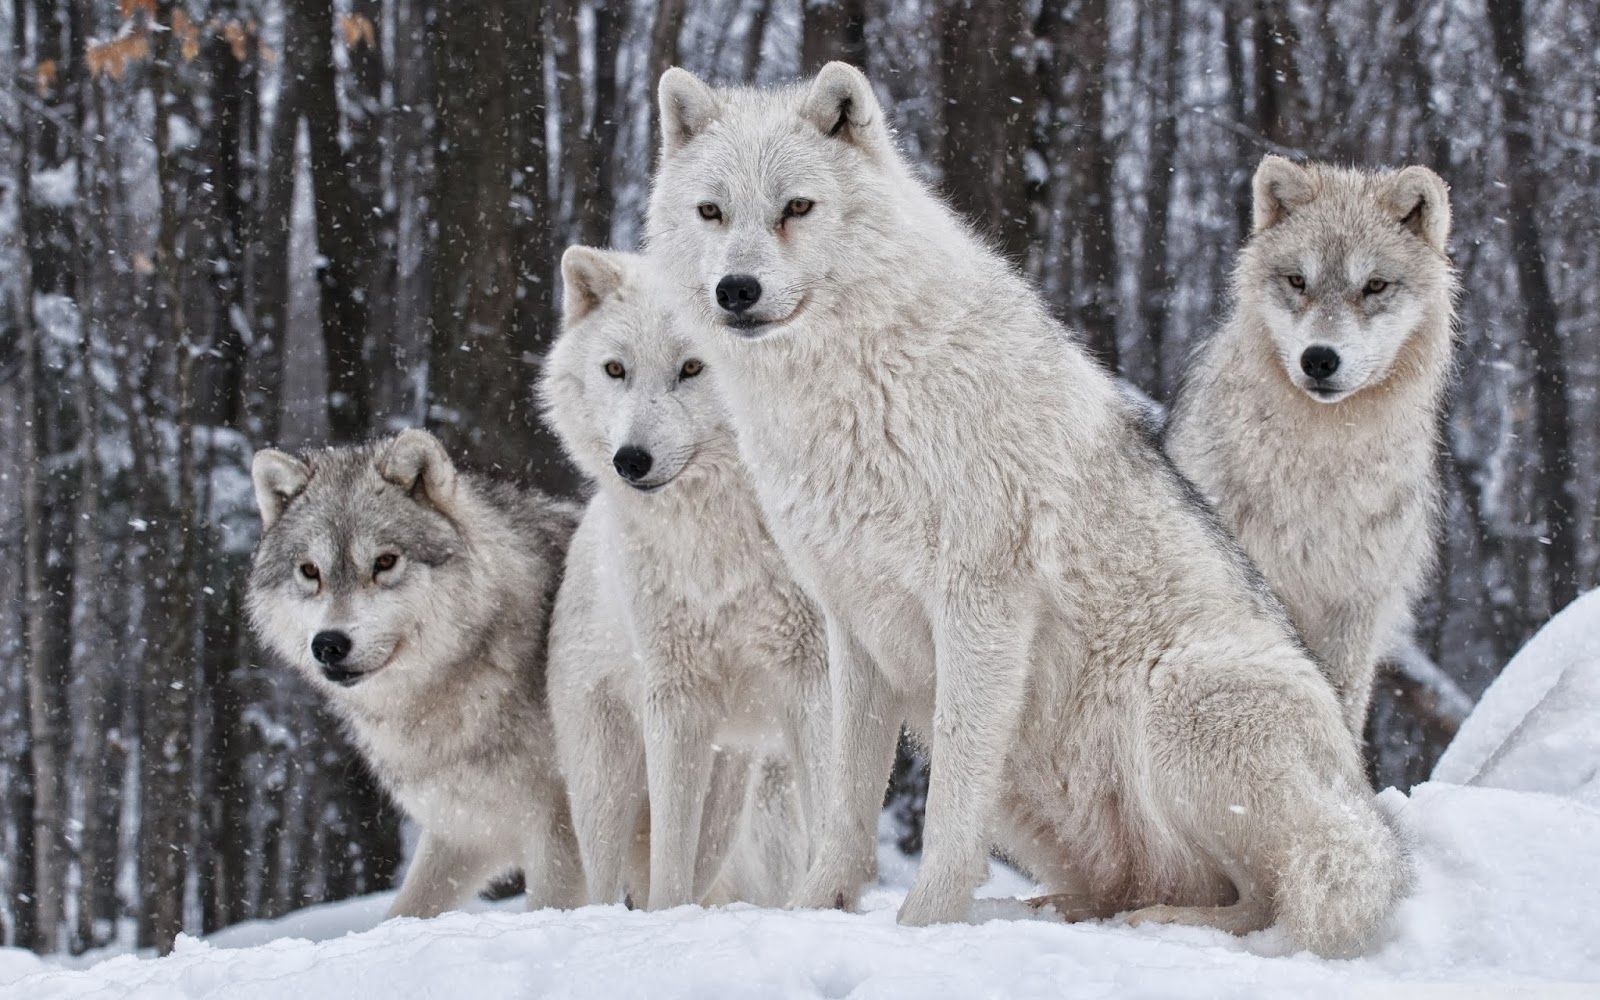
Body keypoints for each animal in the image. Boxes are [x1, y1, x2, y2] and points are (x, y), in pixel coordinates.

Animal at [247, 429, 584, 919]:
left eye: (385, 562)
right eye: (310, 571)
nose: (329, 644)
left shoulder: (562, 828)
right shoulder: (464, 830)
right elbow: (405, 911)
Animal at [539, 246, 829, 910]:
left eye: (694, 367)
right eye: (615, 369)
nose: (630, 461)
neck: (721, 541)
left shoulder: (816, 677)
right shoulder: (675, 697)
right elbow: (669, 857)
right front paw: (667, 923)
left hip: (733, 791)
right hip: (608, 782)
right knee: (607, 881)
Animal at [643, 63, 1408, 956]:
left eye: (796, 207)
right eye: (712, 211)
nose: (736, 289)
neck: (857, 388)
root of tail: (1363, 805)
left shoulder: (981, 606)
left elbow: (948, 807)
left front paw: (924, 926)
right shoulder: (854, 624)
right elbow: (844, 807)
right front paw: (812, 911)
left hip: (1180, 695)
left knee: (1268, 895)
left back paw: (1158, 924)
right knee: (1140, 886)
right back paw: (1051, 911)